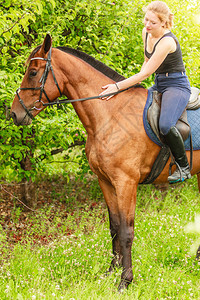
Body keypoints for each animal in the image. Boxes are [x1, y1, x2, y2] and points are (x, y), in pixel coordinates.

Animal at [10, 35, 200, 290]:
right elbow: (114, 226)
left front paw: (125, 281)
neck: (110, 114)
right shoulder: (105, 181)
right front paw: (111, 271)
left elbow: (127, 231)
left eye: (32, 72)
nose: (14, 113)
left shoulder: (125, 182)